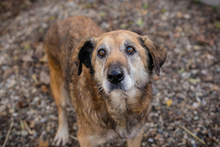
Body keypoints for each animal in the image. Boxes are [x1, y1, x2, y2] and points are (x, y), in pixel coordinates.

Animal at [44, 15, 167, 146]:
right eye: (101, 52)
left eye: (130, 49)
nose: (114, 76)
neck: (120, 105)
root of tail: (63, 20)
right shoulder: (85, 139)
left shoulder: (136, 135)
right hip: (59, 86)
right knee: (61, 109)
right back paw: (62, 134)